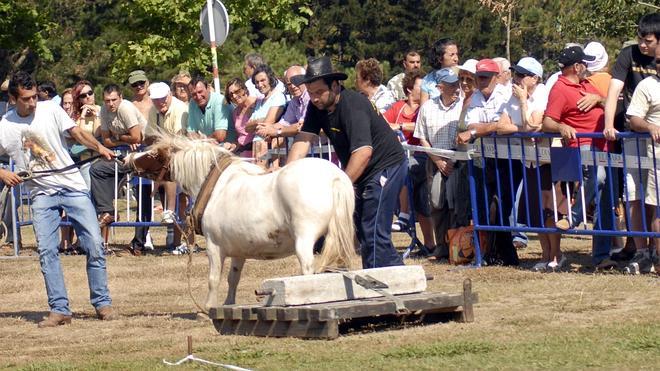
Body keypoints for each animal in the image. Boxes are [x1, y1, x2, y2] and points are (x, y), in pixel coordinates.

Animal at [126, 136, 358, 308]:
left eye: (153, 154)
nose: (126, 159)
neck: (218, 187)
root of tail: (335, 176)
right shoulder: (239, 251)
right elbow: (233, 278)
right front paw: (229, 304)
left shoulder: (214, 246)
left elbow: (213, 279)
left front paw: (208, 308)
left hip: (305, 237)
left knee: (307, 267)